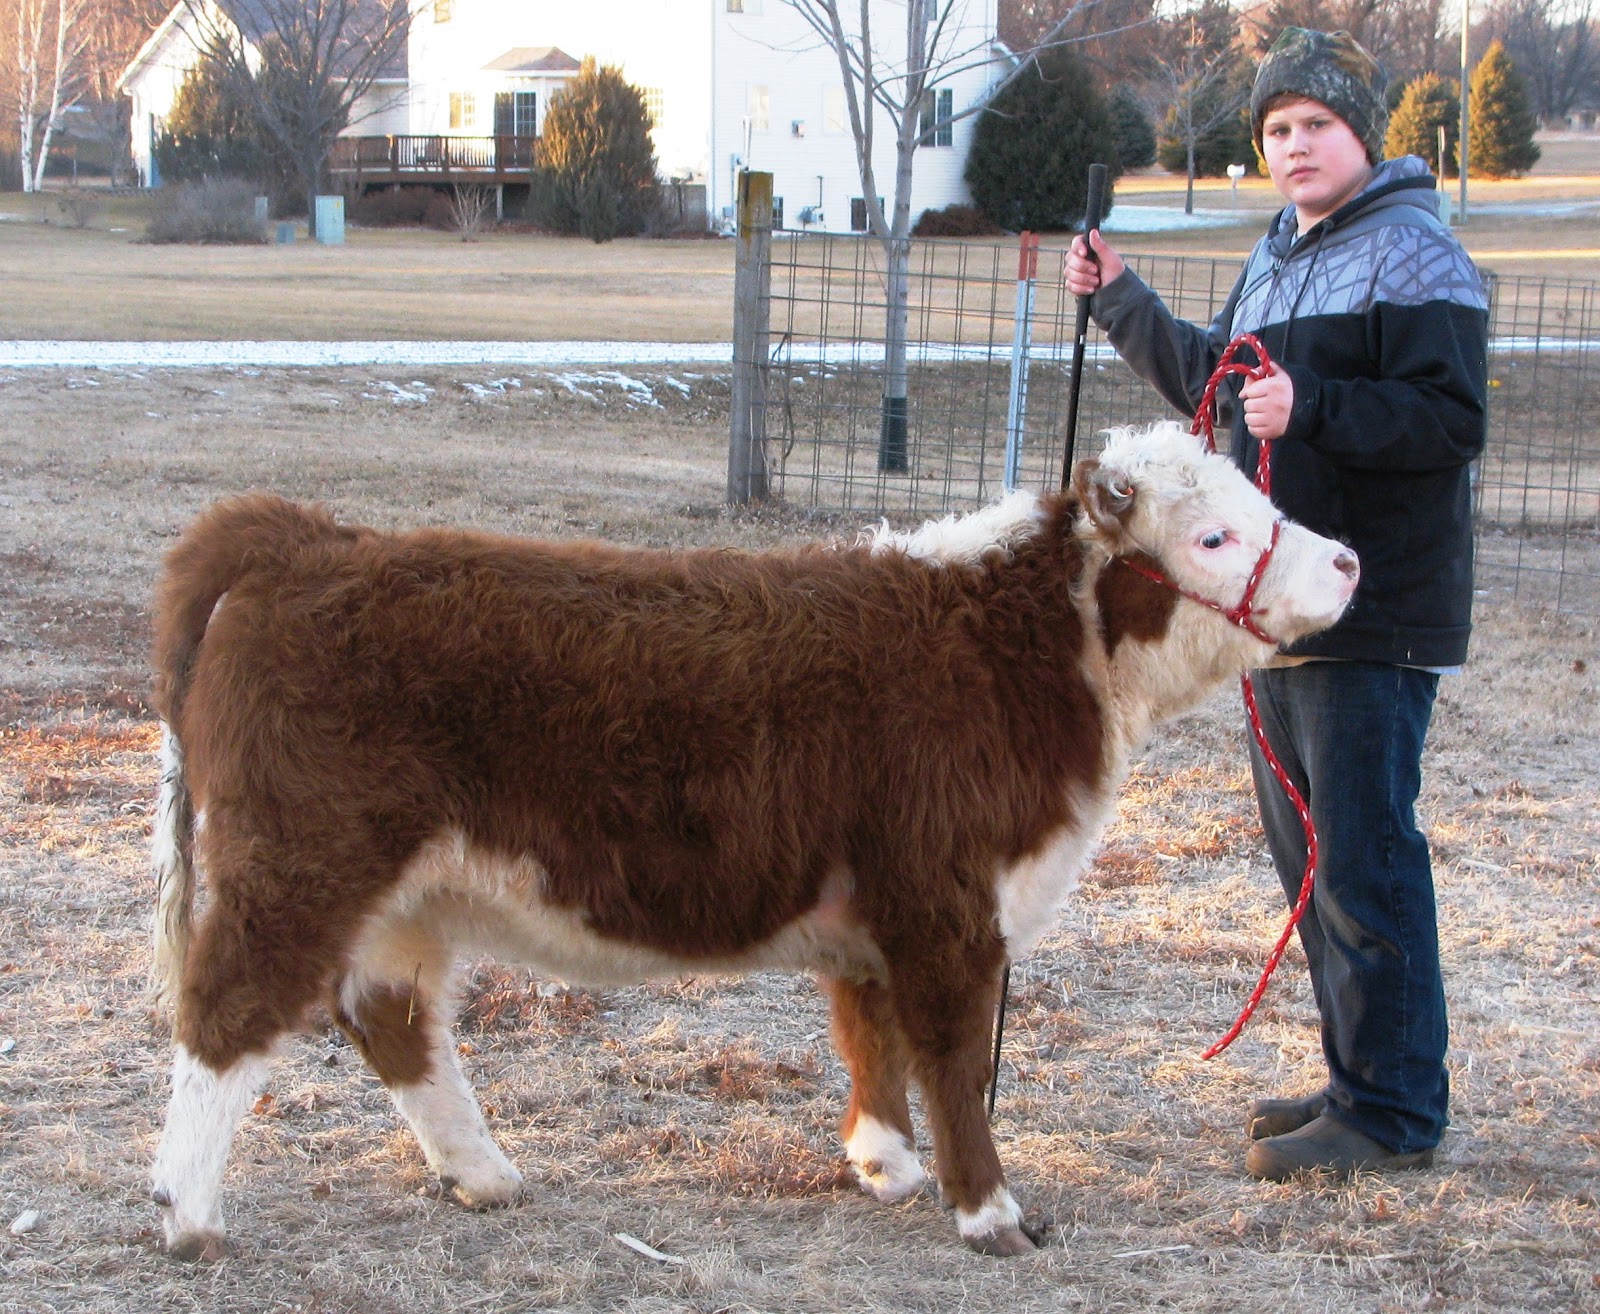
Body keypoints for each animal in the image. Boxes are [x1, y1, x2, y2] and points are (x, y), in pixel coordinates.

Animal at [145, 421, 1358, 1261]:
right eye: (1213, 534)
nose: (1346, 561)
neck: (1016, 649)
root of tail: (306, 542)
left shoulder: (881, 911)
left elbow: (871, 1035)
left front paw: (883, 1164)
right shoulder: (948, 905)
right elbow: (955, 1058)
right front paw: (990, 1213)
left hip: (403, 897)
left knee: (393, 1020)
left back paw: (485, 1175)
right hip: (296, 865)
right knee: (227, 1016)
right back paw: (189, 1213)